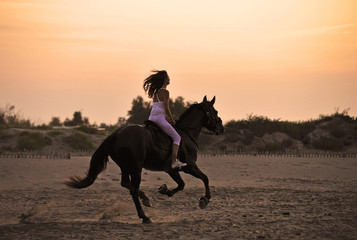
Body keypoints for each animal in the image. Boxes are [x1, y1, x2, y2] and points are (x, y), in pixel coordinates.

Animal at [63, 95, 222, 223]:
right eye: (215, 112)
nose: (222, 128)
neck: (186, 132)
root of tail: (116, 134)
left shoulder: (171, 169)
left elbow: (182, 184)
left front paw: (165, 190)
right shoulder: (189, 166)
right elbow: (205, 178)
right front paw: (204, 200)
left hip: (125, 166)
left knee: (125, 183)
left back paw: (146, 199)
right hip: (136, 168)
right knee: (133, 189)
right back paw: (144, 217)